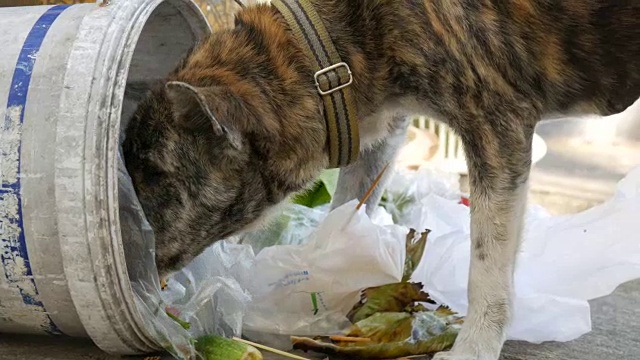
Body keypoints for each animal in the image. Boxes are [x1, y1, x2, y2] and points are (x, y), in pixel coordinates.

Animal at [124, 1, 640, 358]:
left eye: (154, 172)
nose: (134, 259)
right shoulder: (382, 133)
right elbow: (346, 208)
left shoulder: (498, 128)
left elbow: (486, 269)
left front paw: (474, 347)